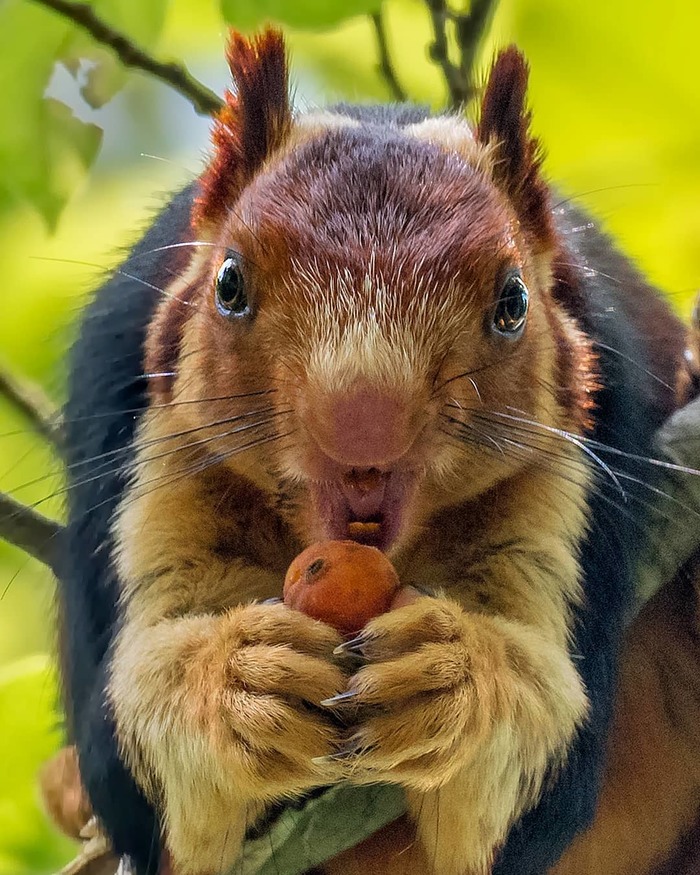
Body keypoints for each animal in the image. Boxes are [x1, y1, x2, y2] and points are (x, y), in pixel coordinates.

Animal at [58, 24, 688, 875]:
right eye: (228, 282)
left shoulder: (586, 466)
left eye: (514, 301)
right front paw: (237, 682)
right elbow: (141, 780)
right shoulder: (137, 431)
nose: (364, 423)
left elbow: (537, 779)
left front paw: (452, 681)